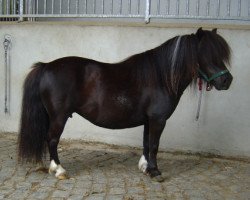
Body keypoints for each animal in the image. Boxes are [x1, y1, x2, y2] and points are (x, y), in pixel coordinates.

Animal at [18, 27, 232, 181]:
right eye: (205, 53)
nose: (226, 81)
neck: (161, 78)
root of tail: (46, 66)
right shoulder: (158, 119)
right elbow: (154, 144)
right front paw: (155, 172)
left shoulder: (149, 120)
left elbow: (146, 143)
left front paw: (146, 168)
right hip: (59, 117)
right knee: (52, 140)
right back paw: (59, 170)